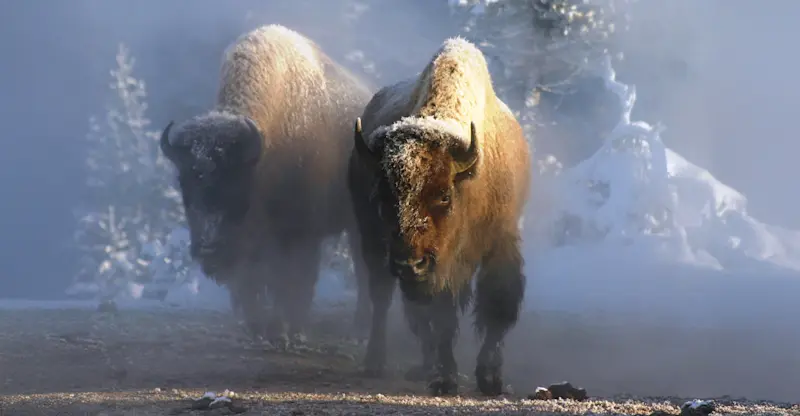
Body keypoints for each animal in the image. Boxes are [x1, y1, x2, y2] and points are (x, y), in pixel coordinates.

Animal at [159, 24, 373, 345]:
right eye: (184, 186)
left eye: (237, 185)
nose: (209, 249)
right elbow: (255, 282)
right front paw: (260, 329)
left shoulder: (300, 234)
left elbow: (293, 282)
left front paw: (289, 331)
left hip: (357, 225)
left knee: (362, 273)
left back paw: (358, 332)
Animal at [347, 37, 531, 396]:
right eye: (382, 195)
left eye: (445, 195)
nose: (410, 263)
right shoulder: (440, 266)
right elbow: (442, 318)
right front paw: (445, 379)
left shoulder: (500, 242)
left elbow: (497, 306)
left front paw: (490, 378)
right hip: (373, 244)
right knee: (383, 300)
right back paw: (378, 362)